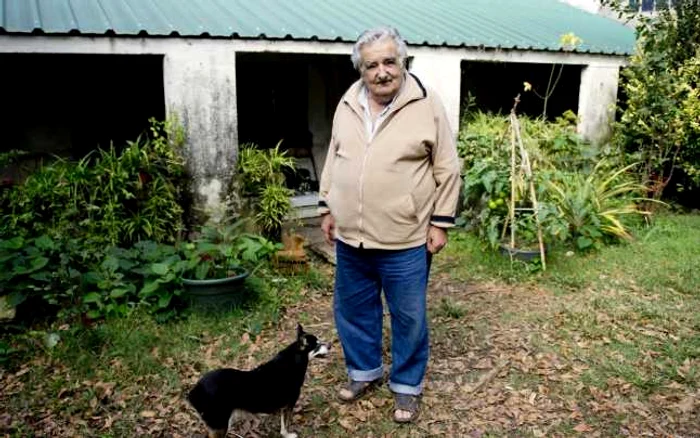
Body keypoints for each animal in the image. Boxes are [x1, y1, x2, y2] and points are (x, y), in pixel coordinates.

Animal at [189, 326, 330, 438]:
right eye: (317, 345)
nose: (330, 345)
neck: (293, 359)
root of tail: (194, 391)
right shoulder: (289, 404)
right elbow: (285, 424)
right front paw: (287, 435)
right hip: (220, 424)